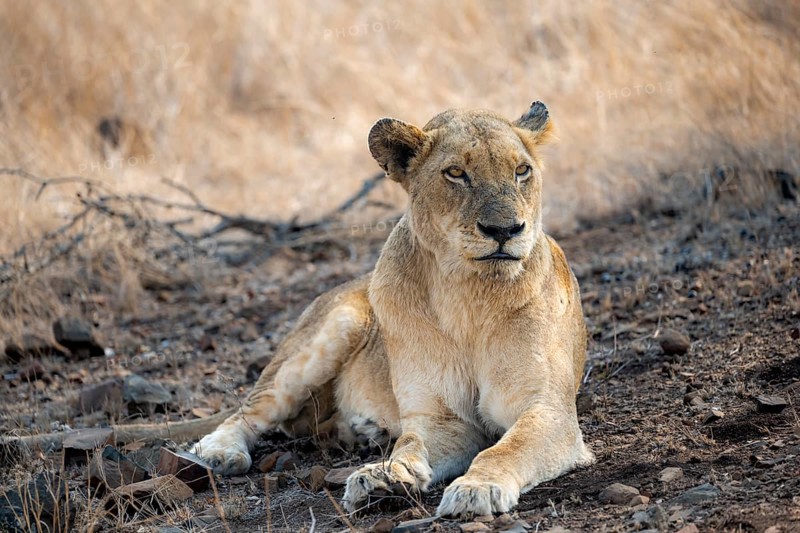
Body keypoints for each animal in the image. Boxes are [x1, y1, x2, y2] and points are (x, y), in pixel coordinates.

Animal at [192, 101, 594, 518]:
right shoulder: (439, 418)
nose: (504, 230)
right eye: (456, 173)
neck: (469, 294)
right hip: (330, 331)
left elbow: (506, 449)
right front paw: (385, 476)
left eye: (522, 171)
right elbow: (411, 444)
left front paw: (476, 488)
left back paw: (363, 433)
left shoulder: (548, 411)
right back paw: (222, 452)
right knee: (248, 411)